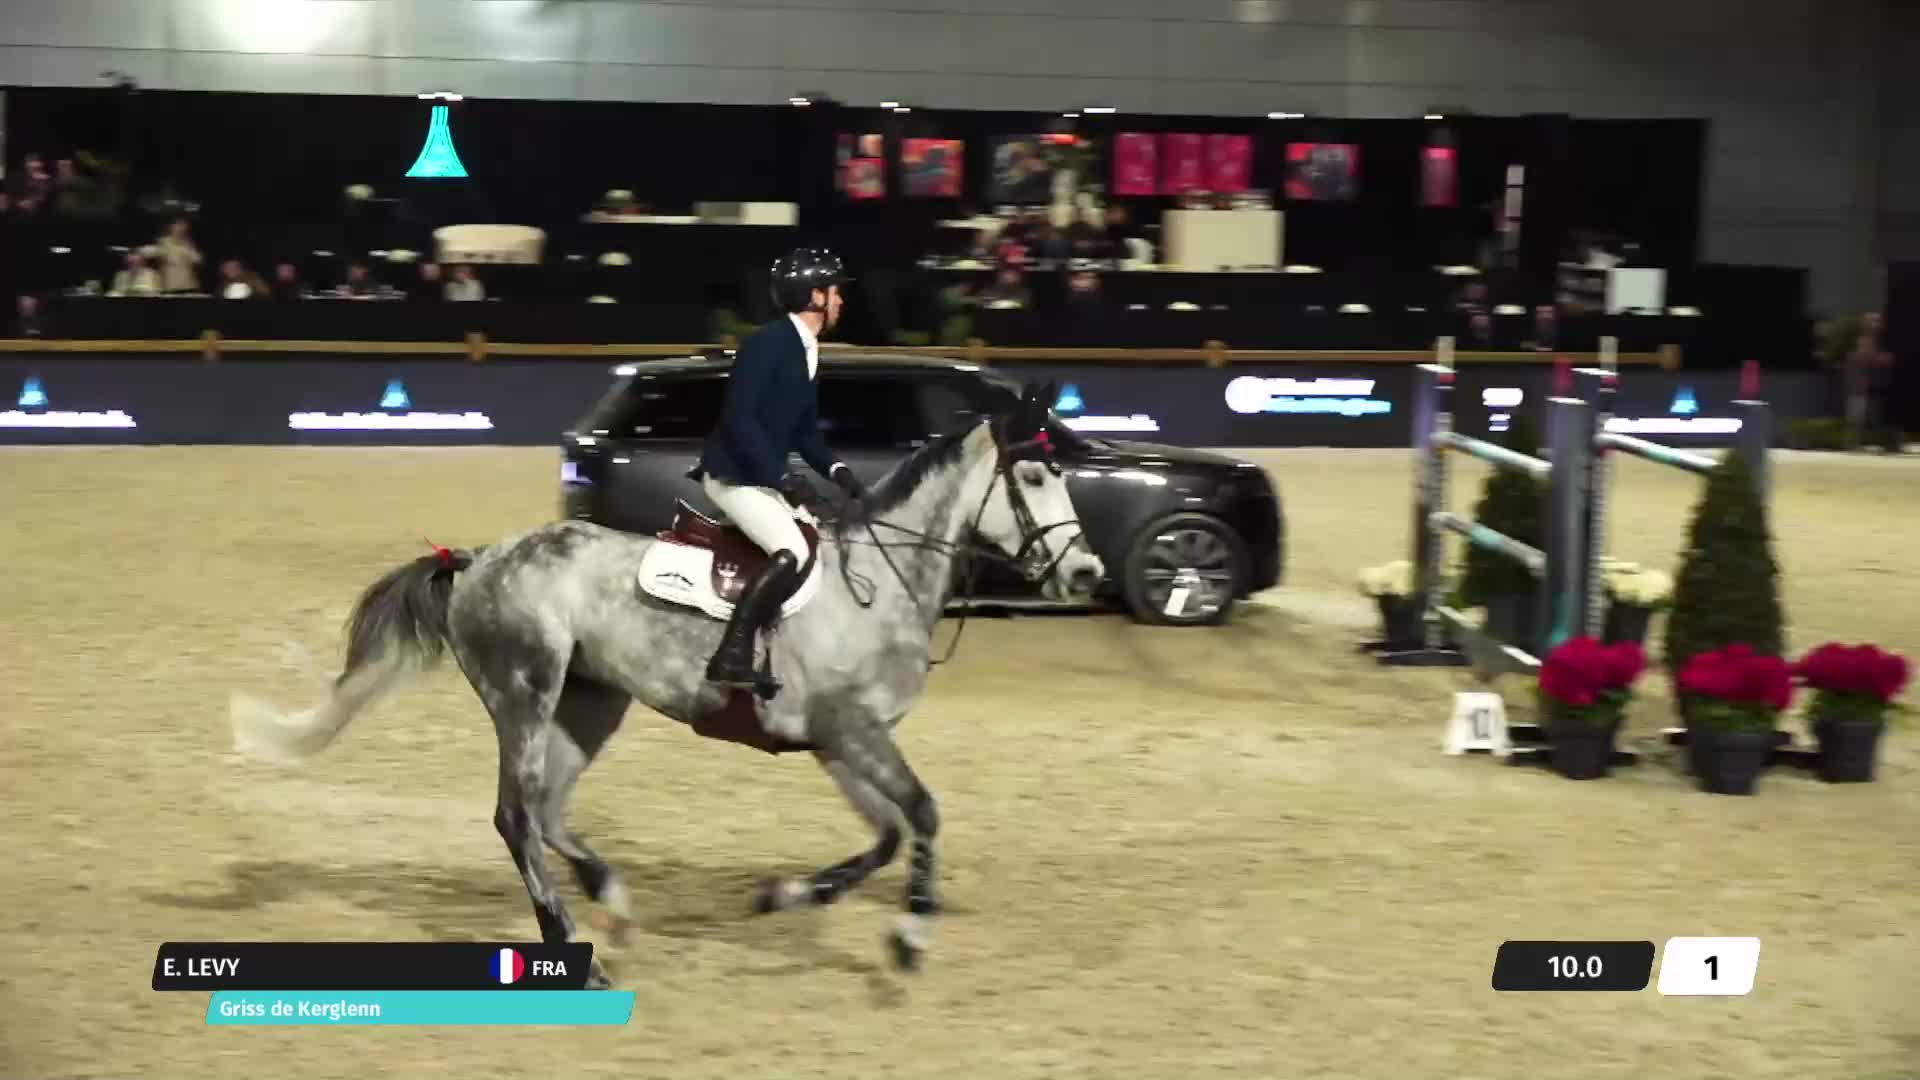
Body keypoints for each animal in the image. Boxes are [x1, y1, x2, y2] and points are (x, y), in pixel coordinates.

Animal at [229, 381, 1104, 986]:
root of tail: (477, 561)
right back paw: (573, 941)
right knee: (517, 815)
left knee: (548, 812)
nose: (1088, 573)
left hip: (591, 704)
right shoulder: (852, 733)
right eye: (1034, 474)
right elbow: (922, 813)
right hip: (525, 693)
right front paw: (909, 938)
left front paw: (786, 897)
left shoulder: (840, 740)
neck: (878, 581)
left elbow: (888, 832)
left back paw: (610, 901)